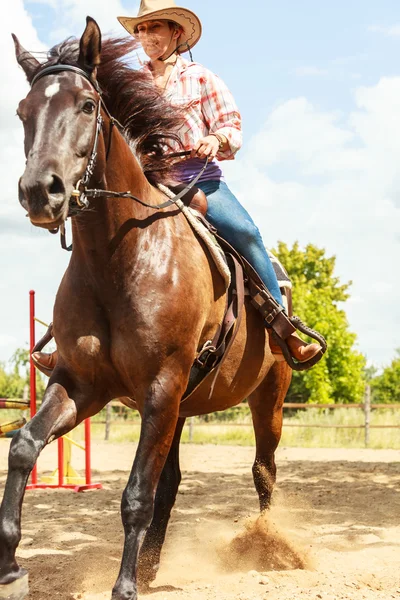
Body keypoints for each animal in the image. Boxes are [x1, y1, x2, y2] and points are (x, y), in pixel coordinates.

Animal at [1, 18, 292, 600]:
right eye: (23, 111)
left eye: (88, 104)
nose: (40, 191)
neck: (121, 259)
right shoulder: (85, 384)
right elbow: (23, 445)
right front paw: (11, 568)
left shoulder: (159, 386)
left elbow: (136, 493)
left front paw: (124, 587)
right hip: (179, 407)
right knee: (174, 480)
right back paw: (156, 563)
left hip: (265, 398)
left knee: (263, 470)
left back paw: (268, 543)